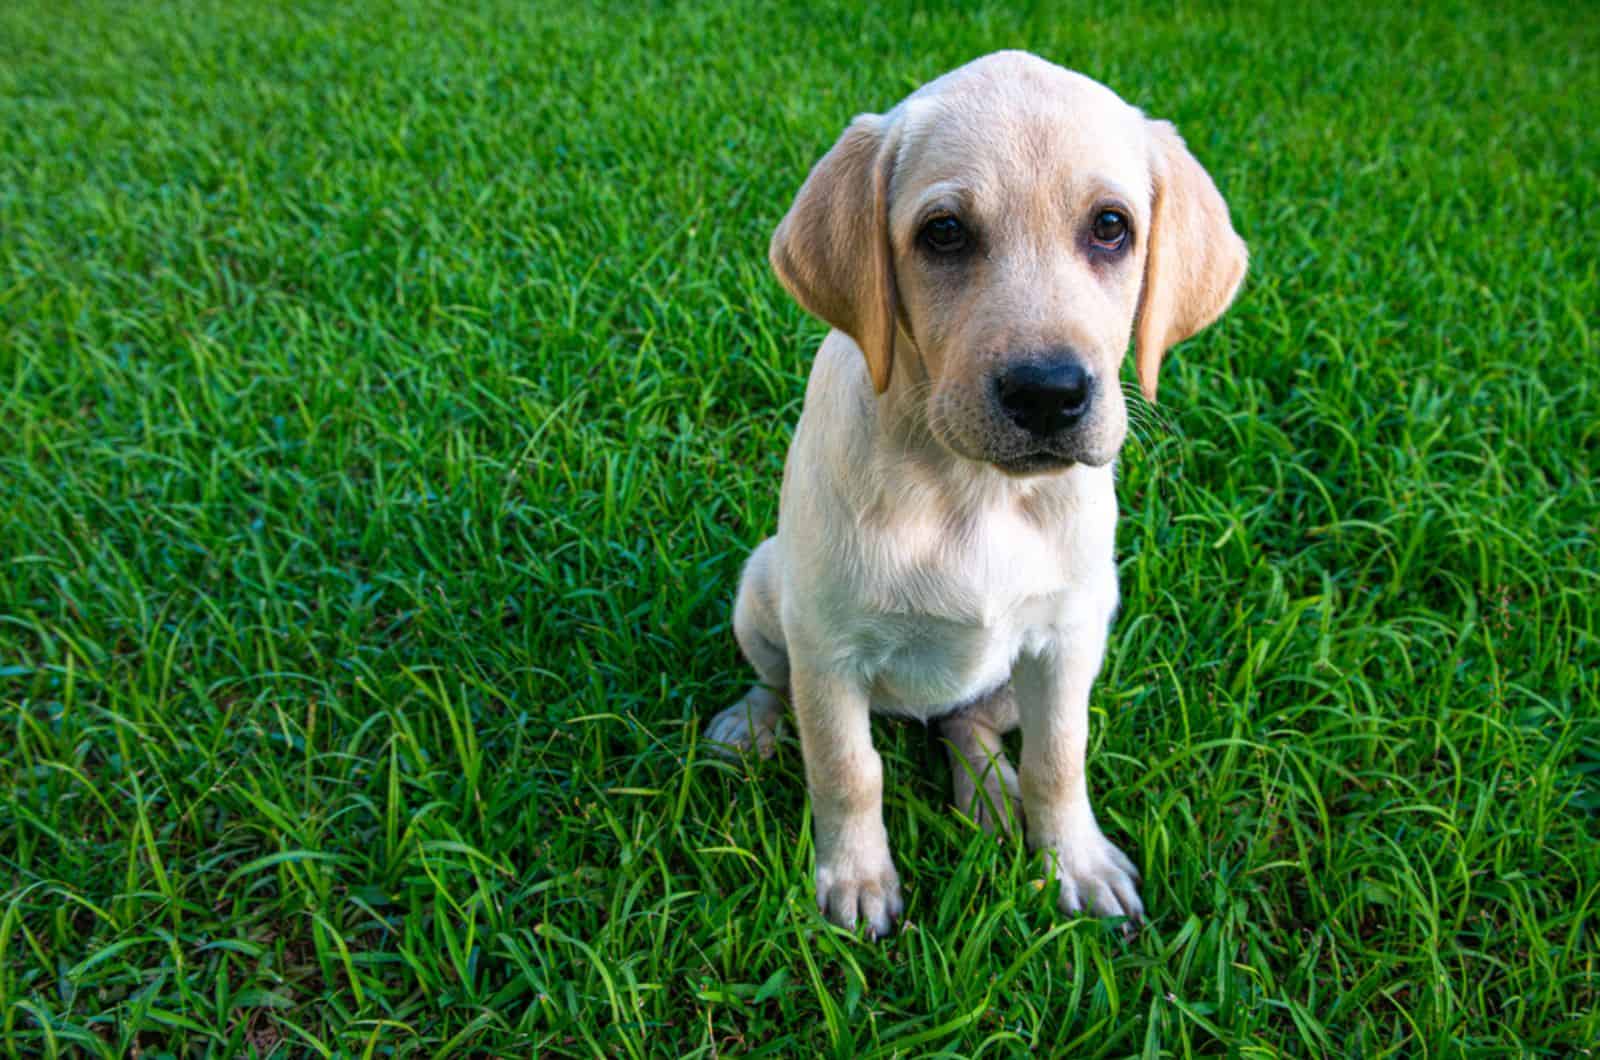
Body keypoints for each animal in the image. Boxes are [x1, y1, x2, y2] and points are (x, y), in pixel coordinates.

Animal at [713, 49, 1248, 941]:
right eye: (944, 233)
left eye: (1111, 227)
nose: (1048, 393)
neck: (973, 489)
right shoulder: (829, 648)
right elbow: (847, 767)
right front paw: (857, 879)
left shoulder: (1067, 641)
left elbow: (1059, 760)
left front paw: (1076, 861)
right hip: (763, 584)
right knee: (778, 683)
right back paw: (749, 726)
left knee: (970, 723)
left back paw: (991, 801)